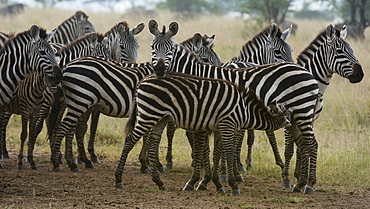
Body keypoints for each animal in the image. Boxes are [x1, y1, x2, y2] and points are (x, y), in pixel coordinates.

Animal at [0, 24, 60, 168]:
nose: (59, 76)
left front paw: (31, 160)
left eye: (54, 52)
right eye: (42, 52)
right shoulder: (25, 110)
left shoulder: (34, 112)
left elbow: (32, 133)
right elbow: (24, 133)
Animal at [113, 71, 292, 194]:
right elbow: (228, 152)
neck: (244, 109)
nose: (291, 126)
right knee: (130, 140)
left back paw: (159, 183)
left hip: (160, 118)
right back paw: (118, 179)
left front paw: (217, 183)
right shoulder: (227, 125)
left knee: (153, 143)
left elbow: (216, 154)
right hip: (149, 114)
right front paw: (232, 184)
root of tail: (144, 79)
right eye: (288, 117)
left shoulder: (219, 128)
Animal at [147, 20, 320, 194]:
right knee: (303, 144)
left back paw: (309, 184)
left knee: (312, 144)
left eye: (170, 50)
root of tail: (306, 72)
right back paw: (299, 183)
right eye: (152, 48)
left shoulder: (203, 115)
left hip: (302, 112)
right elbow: (207, 148)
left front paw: (199, 180)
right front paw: (207, 180)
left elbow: (204, 148)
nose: (159, 70)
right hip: (295, 115)